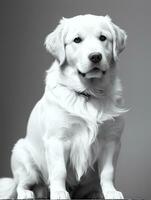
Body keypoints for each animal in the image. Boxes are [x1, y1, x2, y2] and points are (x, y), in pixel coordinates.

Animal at [0, 14, 127, 199]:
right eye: (77, 40)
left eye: (103, 38)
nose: (95, 56)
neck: (88, 93)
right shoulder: (57, 139)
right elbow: (59, 170)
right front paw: (59, 192)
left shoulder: (111, 140)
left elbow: (108, 172)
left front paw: (111, 192)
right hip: (23, 157)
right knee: (20, 184)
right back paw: (27, 193)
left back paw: (95, 193)